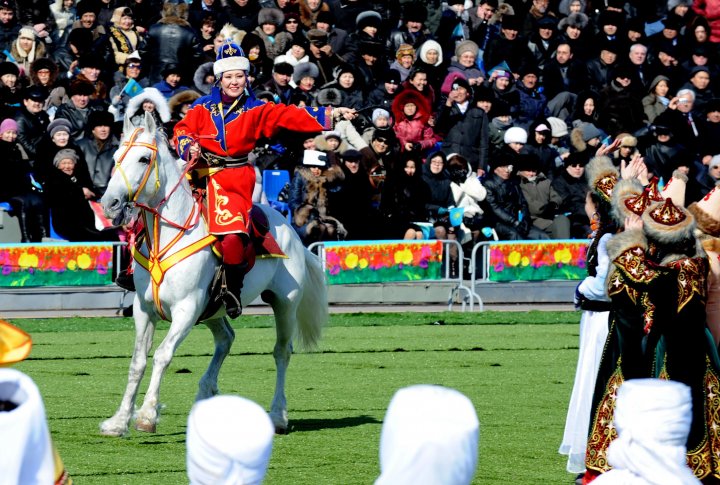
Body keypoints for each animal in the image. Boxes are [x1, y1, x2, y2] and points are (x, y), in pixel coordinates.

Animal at [99, 112, 330, 434]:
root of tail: (290, 229)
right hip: (213, 311)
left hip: (285, 303)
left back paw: (277, 415)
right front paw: (119, 421)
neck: (168, 236)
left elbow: (162, 355)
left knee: (281, 352)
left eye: (144, 158)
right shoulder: (144, 309)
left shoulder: (186, 309)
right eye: (116, 156)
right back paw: (205, 394)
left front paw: (146, 415)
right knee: (226, 339)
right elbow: (137, 361)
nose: (109, 204)